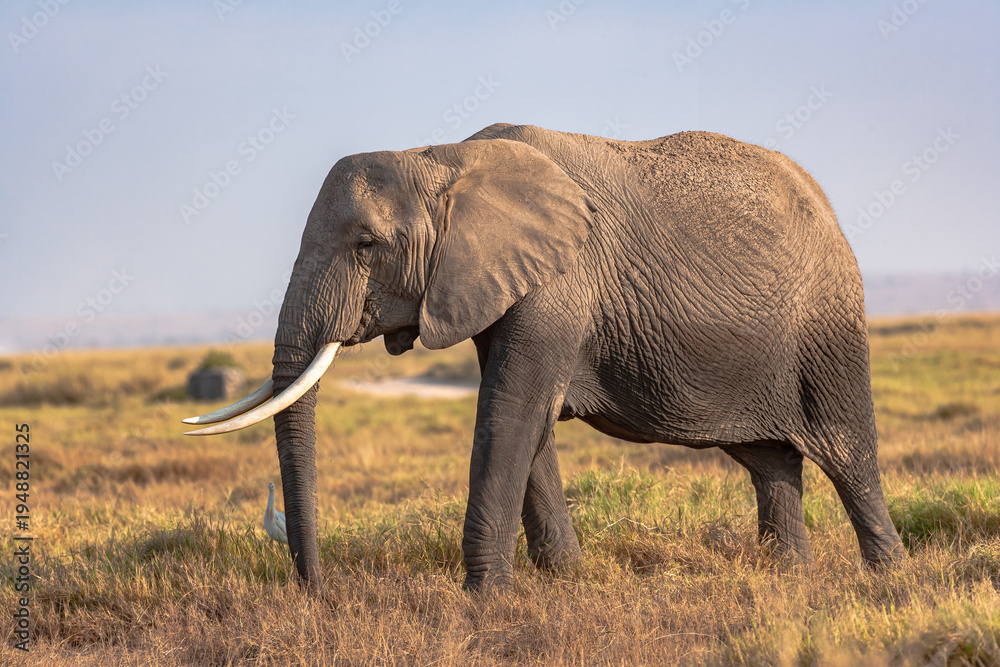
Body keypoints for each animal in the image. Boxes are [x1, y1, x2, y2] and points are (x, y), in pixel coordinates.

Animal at [184, 123, 906, 591]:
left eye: (366, 243)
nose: (319, 590)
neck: (441, 155)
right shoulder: (491, 282)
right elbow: (525, 421)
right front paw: (564, 578)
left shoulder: (557, 282)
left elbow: (509, 413)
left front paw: (485, 600)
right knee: (770, 460)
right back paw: (790, 576)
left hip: (827, 324)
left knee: (848, 454)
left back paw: (889, 579)